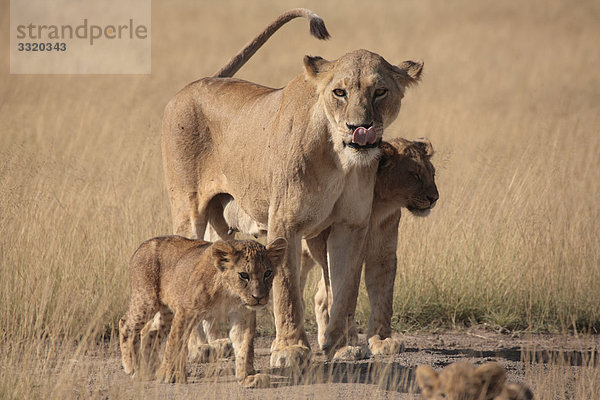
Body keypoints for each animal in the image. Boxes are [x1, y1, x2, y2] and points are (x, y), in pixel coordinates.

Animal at [159, 7, 422, 368]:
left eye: (380, 91)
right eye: (339, 93)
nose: (360, 127)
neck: (340, 159)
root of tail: (195, 83)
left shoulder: (351, 225)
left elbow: (345, 289)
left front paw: (340, 345)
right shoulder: (285, 222)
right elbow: (287, 289)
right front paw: (290, 349)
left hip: (221, 220)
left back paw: (219, 341)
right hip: (188, 208)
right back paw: (200, 348)